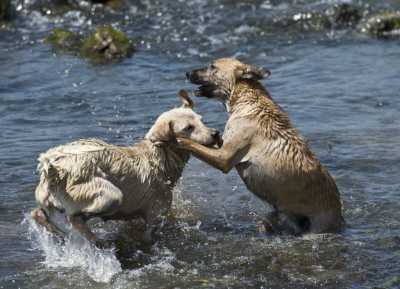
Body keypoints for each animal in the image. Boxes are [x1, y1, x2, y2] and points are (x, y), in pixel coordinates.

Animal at [29, 90, 220, 245]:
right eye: (188, 128)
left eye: (202, 120)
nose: (216, 133)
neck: (159, 159)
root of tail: (55, 168)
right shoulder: (156, 215)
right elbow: (150, 236)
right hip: (109, 195)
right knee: (74, 217)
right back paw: (96, 241)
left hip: (48, 197)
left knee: (37, 213)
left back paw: (60, 234)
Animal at [172, 58, 344, 234]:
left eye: (213, 66)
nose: (187, 73)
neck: (247, 101)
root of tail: (340, 217)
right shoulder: (222, 146)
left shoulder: (225, 158)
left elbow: (190, 143)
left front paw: (173, 139)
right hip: (271, 221)